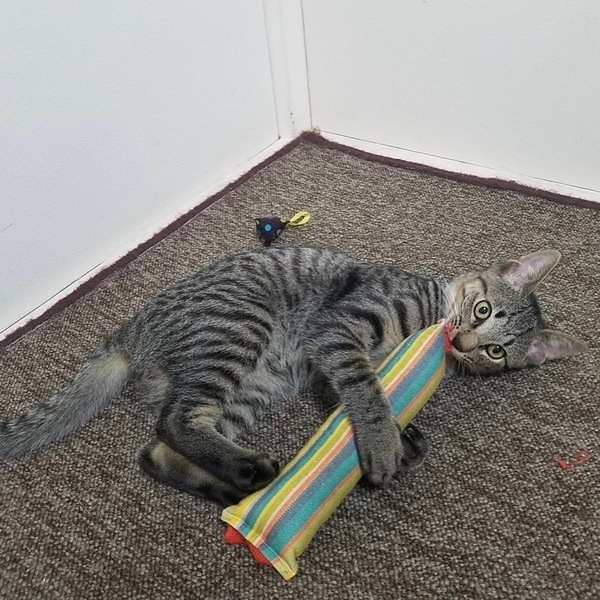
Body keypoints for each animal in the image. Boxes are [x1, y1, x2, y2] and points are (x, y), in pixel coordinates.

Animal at [0, 247, 587, 505]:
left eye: (495, 352)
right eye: (484, 311)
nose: (463, 342)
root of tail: (125, 334)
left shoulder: (326, 365)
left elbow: (365, 396)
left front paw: (405, 441)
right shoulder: (336, 331)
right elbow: (368, 394)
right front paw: (383, 445)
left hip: (254, 386)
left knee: (158, 450)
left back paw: (239, 481)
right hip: (239, 331)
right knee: (175, 421)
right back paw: (242, 474)